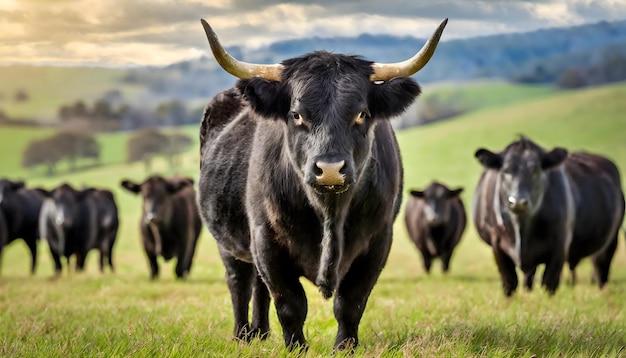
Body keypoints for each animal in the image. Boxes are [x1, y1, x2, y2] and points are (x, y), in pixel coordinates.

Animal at [197, 18, 446, 352]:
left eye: (362, 114)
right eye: (296, 114)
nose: (329, 170)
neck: (330, 214)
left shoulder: (378, 240)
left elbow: (351, 302)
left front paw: (345, 347)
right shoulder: (266, 239)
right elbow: (290, 304)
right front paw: (296, 348)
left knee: (259, 288)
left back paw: (261, 333)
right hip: (228, 243)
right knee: (239, 282)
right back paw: (243, 336)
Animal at [470, 136, 620, 296]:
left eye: (536, 171)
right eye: (506, 170)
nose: (518, 202)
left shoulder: (560, 245)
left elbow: (549, 283)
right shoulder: (497, 244)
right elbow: (509, 282)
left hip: (610, 241)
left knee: (601, 270)